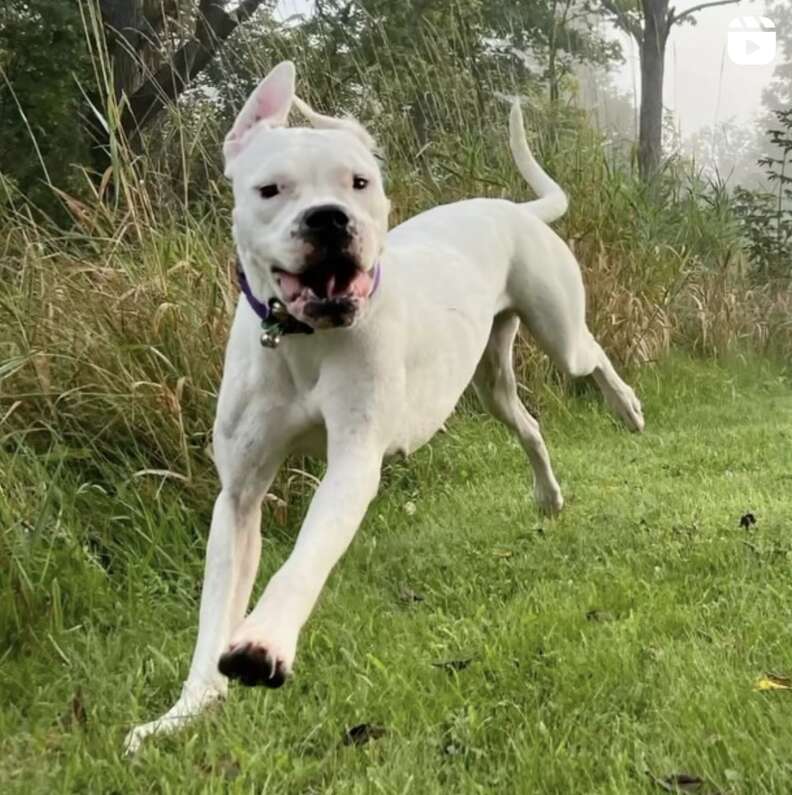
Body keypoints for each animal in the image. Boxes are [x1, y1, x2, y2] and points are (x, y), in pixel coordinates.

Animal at [125, 60, 644, 752]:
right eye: (270, 190)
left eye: (359, 182)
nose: (328, 218)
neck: (303, 340)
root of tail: (512, 207)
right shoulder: (238, 496)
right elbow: (213, 612)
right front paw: (184, 711)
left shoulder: (353, 462)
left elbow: (304, 559)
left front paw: (264, 642)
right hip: (490, 382)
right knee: (528, 422)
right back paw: (548, 495)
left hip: (560, 332)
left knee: (593, 358)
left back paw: (628, 409)